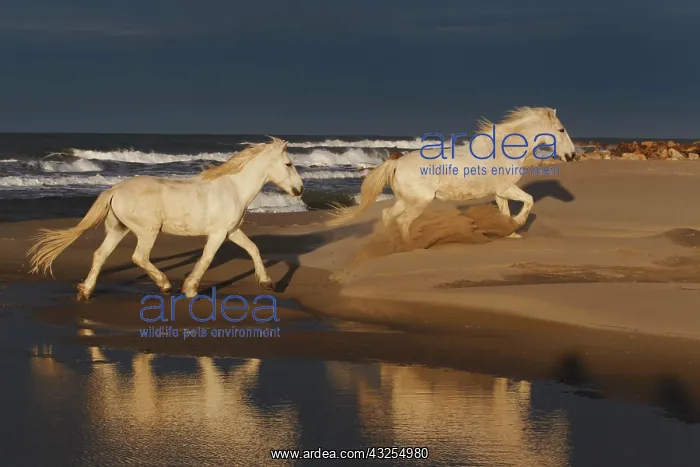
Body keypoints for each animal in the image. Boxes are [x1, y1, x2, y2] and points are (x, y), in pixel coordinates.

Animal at [27, 136, 304, 300]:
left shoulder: (232, 231)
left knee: (99, 255)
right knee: (139, 257)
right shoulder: (217, 234)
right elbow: (206, 259)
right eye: (289, 164)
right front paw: (190, 289)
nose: (300, 189)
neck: (233, 188)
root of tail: (115, 189)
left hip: (118, 229)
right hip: (147, 231)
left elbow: (254, 249)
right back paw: (165, 286)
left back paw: (85, 291)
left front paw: (267, 283)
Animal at [327, 107, 576, 240]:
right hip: (420, 201)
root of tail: (396, 164)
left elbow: (506, 212)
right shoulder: (507, 188)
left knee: (388, 215)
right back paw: (408, 245)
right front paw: (517, 224)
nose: (572, 155)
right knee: (404, 221)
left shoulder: (500, 193)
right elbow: (529, 201)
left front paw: (510, 232)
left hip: (406, 200)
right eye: (561, 130)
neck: (504, 149)